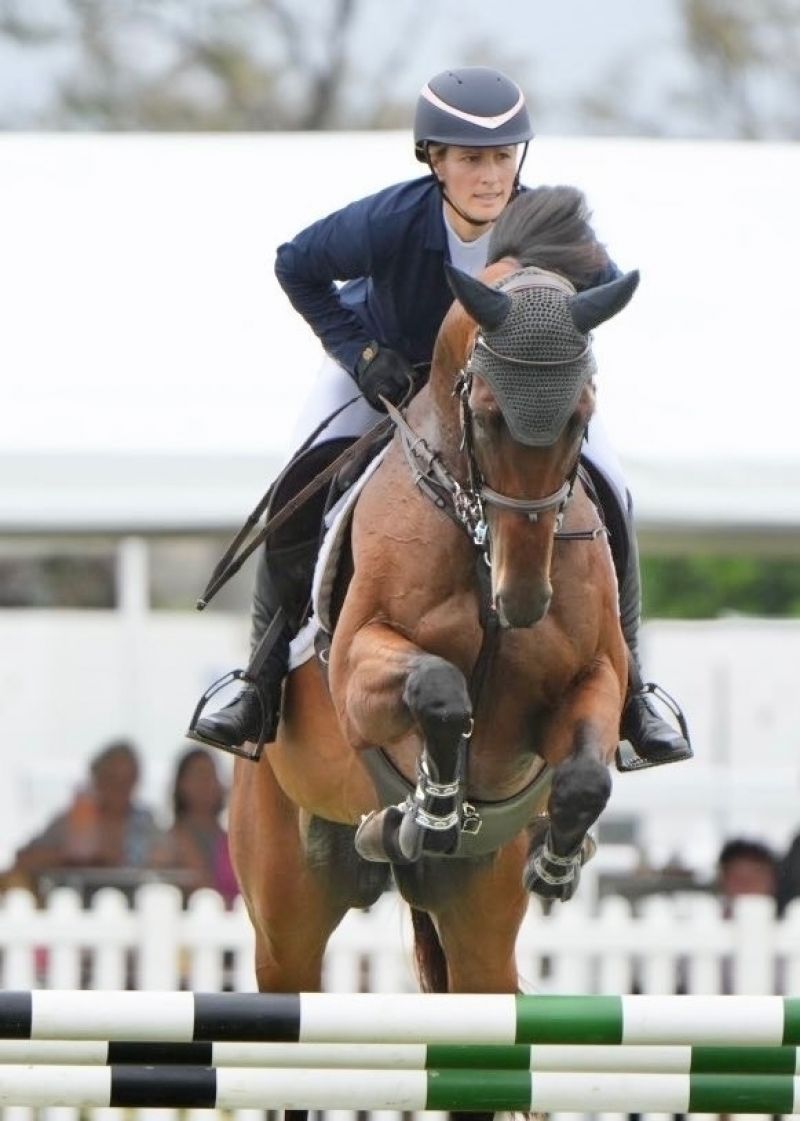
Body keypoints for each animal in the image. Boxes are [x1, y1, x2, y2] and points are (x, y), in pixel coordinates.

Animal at [228, 186, 636, 1103]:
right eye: (484, 416)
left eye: (582, 416)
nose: (523, 600)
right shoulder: (357, 670)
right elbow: (440, 690)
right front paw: (435, 803)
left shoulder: (591, 682)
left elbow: (586, 771)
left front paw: (558, 860)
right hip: (284, 917)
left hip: (476, 928)